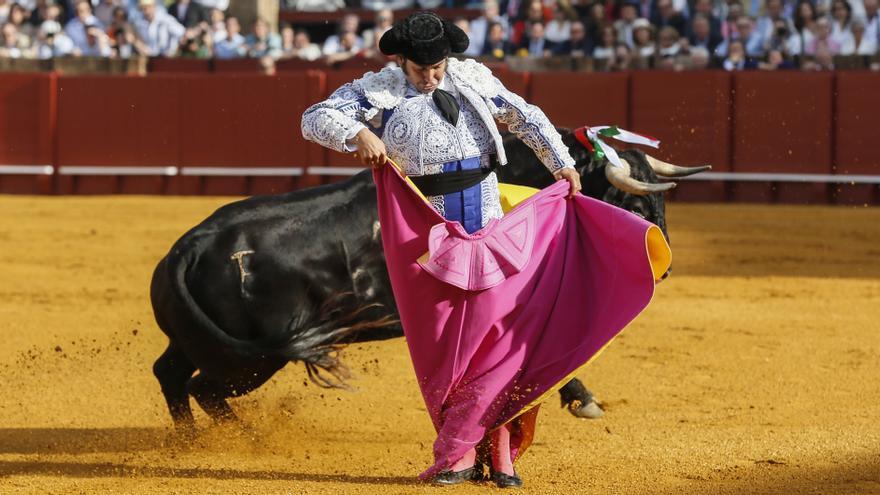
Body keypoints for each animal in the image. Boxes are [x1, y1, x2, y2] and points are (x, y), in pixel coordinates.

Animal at [150, 130, 708, 432]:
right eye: (632, 202)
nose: (665, 265)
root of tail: (191, 245)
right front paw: (581, 399)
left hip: (205, 343)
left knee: (173, 375)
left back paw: (194, 442)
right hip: (254, 359)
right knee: (203, 387)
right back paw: (238, 437)